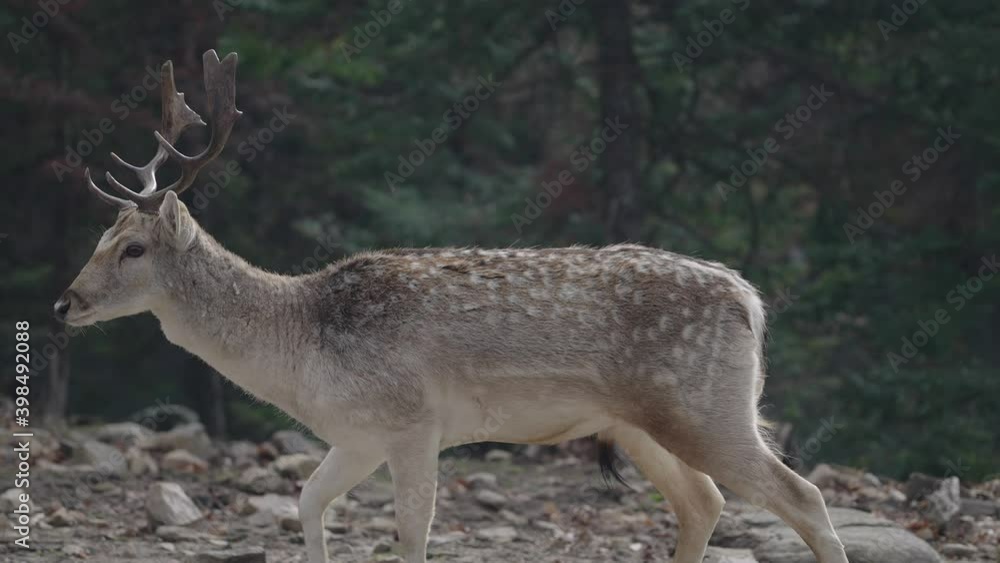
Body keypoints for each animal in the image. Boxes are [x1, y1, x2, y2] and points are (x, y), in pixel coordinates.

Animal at [54, 50, 850, 563]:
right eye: (99, 237)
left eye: (133, 248)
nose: (64, 304)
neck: (299, 354)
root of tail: (749, 298)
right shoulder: (357, 435)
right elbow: (308, 503)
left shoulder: (412, 420)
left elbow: (413, 535)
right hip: (641, 423)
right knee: (704, 502)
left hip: (707, 405)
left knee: (802, 495)